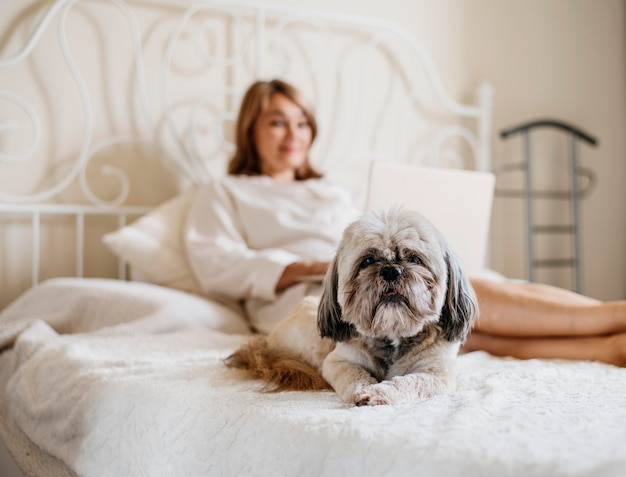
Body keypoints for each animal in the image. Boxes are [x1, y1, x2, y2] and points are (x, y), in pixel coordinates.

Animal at [227, 206, 476, 404]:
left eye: (414, 259)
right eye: (367, 261)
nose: (390, 270)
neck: (393, 335)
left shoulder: (437, 372)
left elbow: (410, 381)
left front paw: (380, 393)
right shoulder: (339, 361)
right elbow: (355, 376)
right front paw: (365, 390)